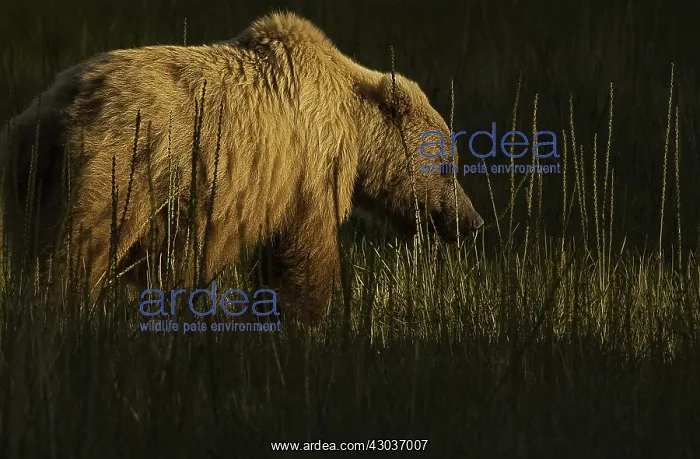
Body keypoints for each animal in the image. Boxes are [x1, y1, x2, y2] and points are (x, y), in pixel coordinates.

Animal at [0, 12, 483, 321]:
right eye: (447, 166)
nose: (471, 221)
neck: (353, 125)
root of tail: (48, 113)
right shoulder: (307, 169)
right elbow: (304, 255)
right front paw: (306, 322)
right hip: (116, 175)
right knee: (74, 257)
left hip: (37, 185)